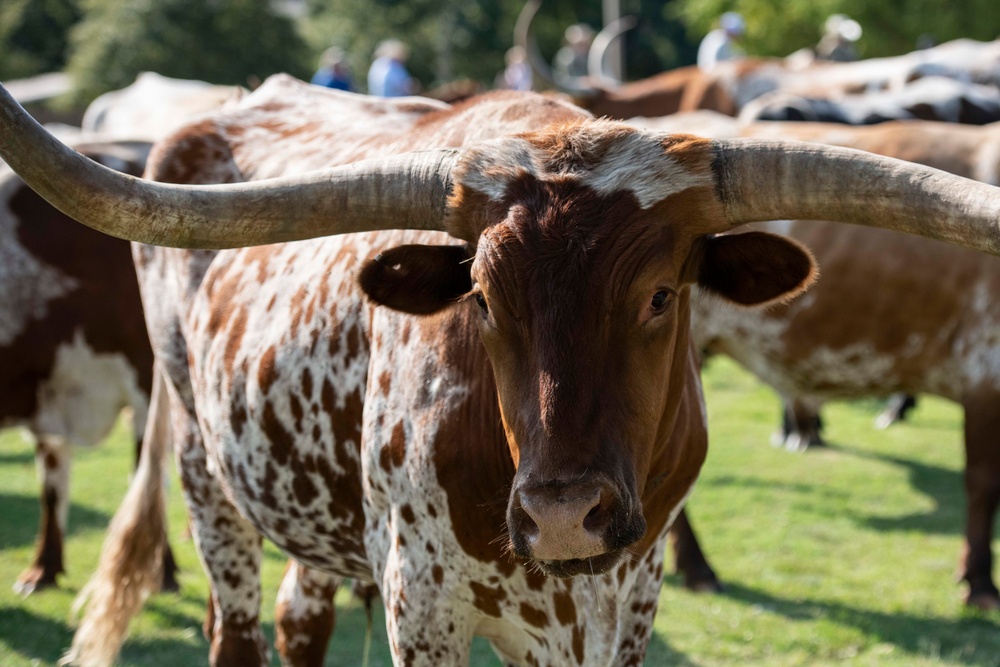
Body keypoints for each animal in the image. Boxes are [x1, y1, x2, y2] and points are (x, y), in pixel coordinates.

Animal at [0, 139, 179, 595]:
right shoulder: (47, 400)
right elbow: (51, 484)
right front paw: (43, 568)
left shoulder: (147, 382)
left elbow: (148, 475)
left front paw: (160, 571)